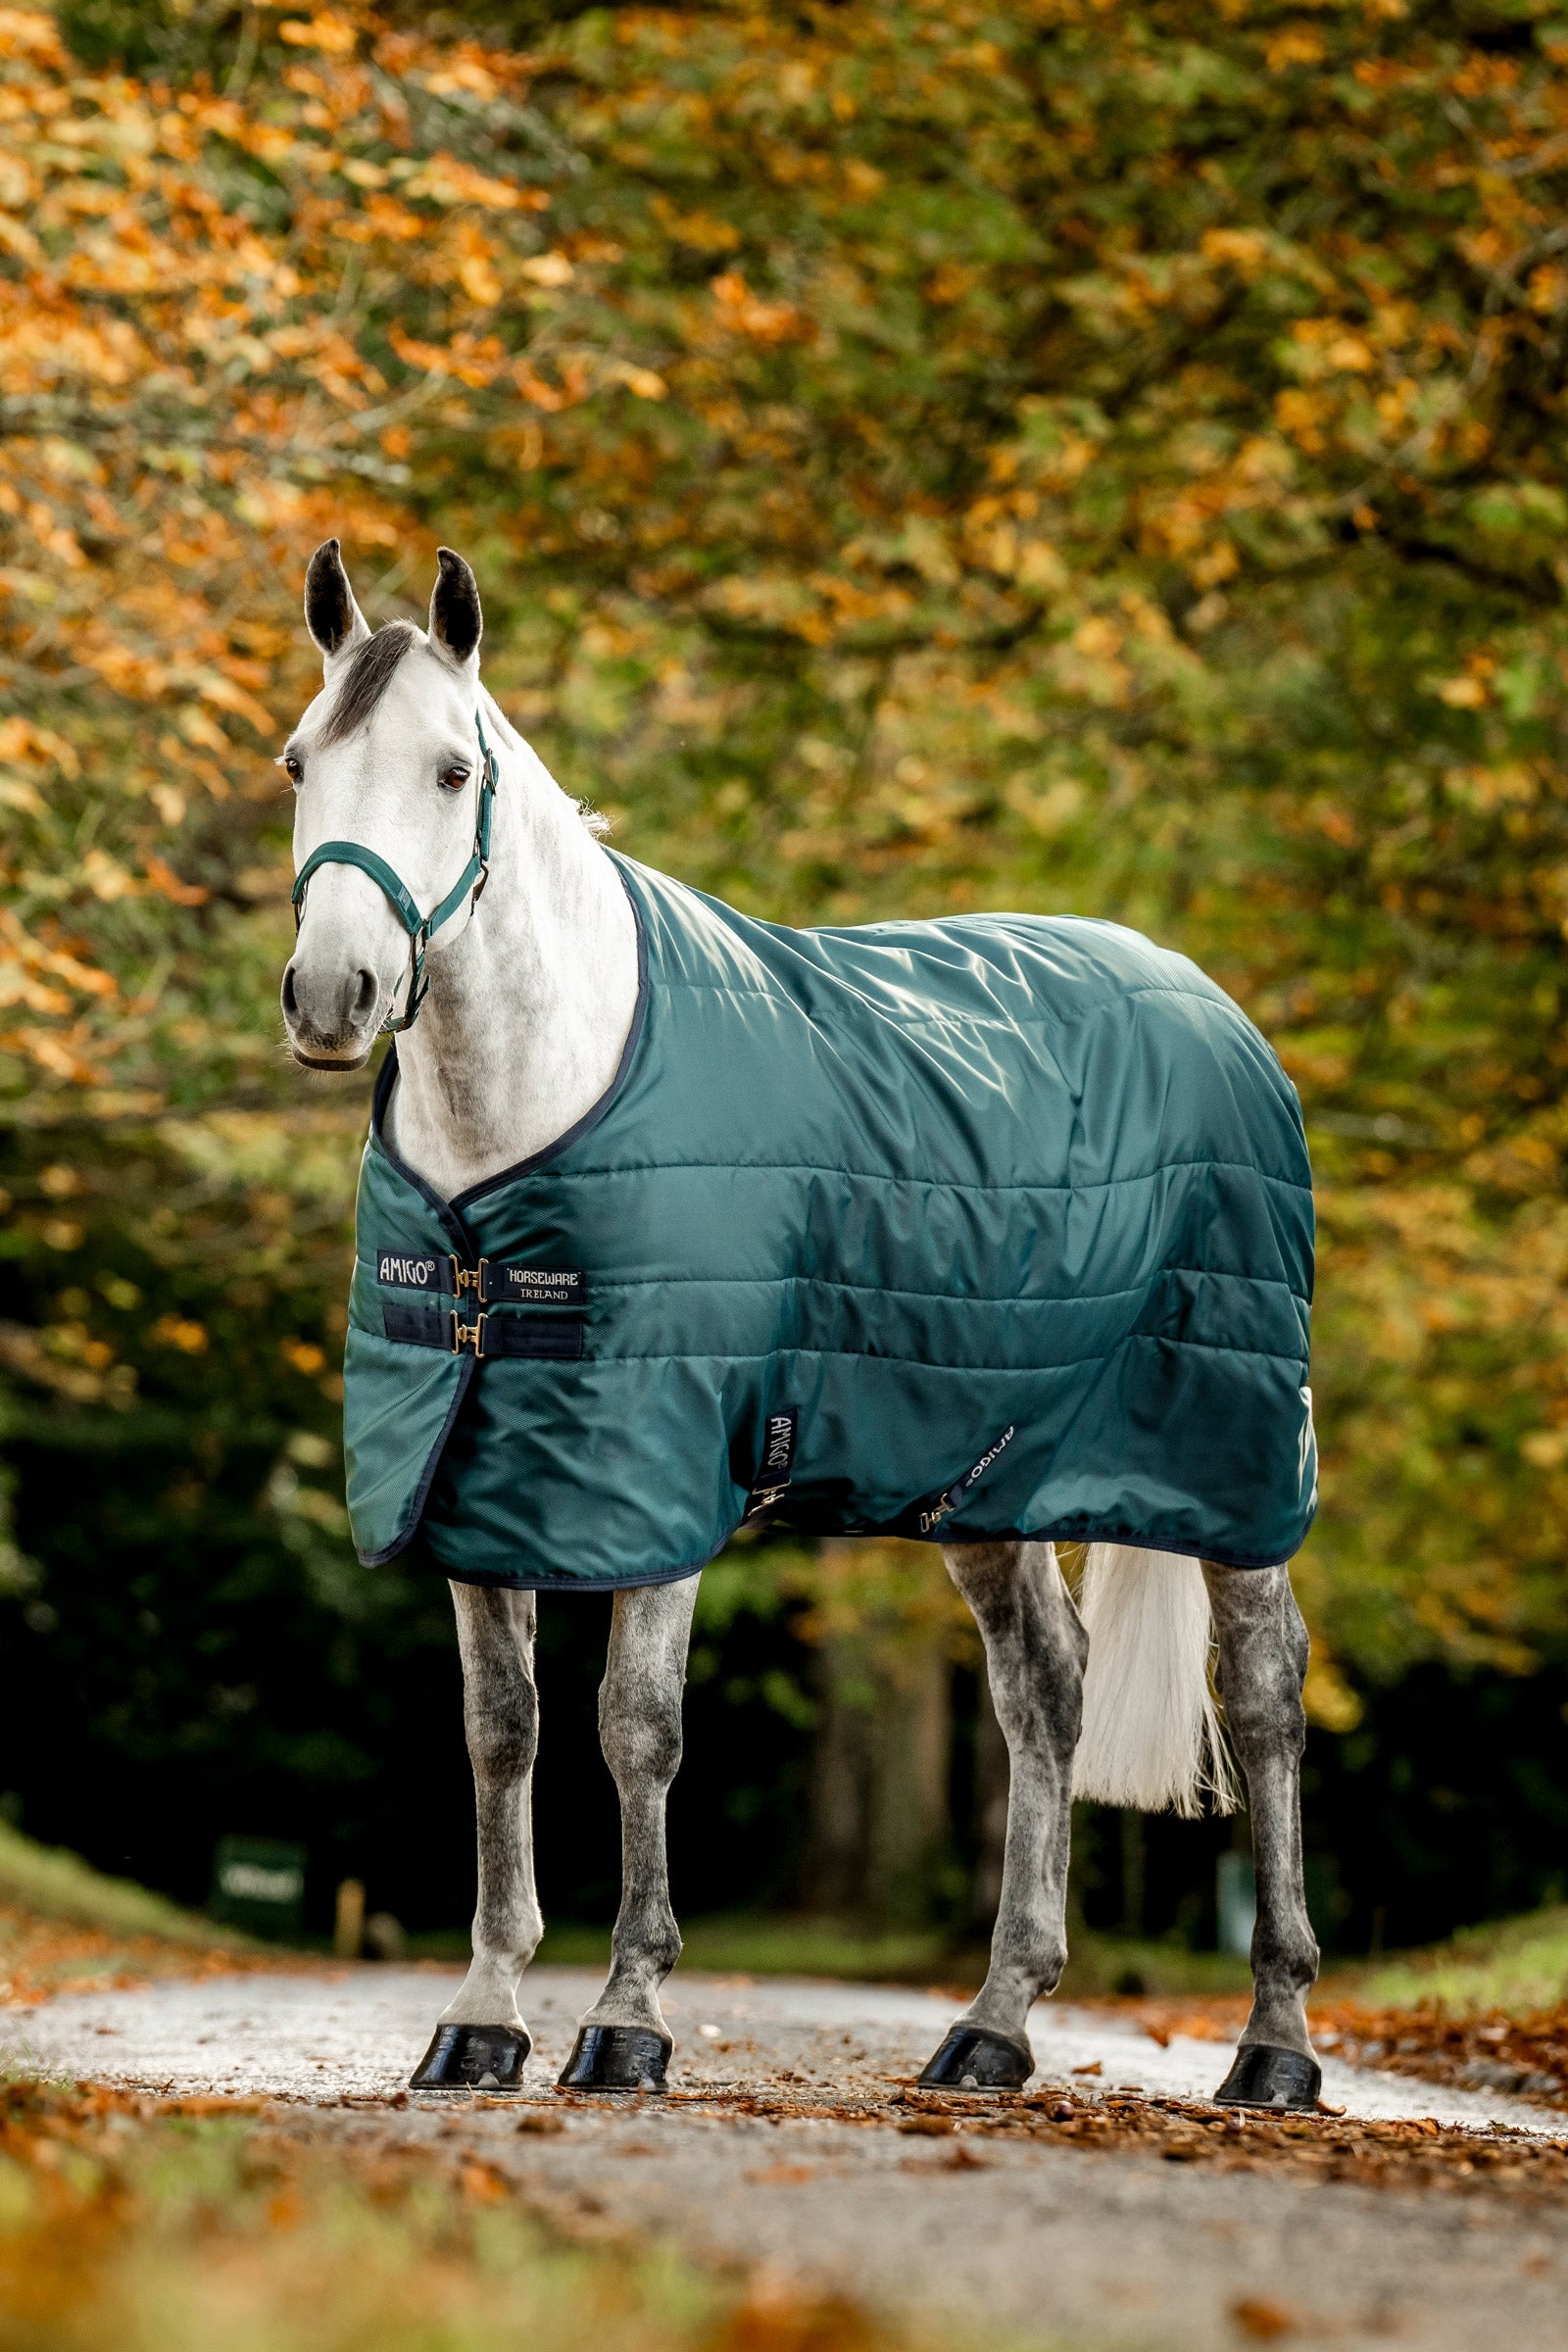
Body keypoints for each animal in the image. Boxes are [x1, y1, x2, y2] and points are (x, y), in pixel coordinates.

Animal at [279, 538, 1322, 2110]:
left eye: (454, 771)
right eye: (298, 764)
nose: (333, 996)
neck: (535, 1108)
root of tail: (1210, 1006)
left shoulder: (659, 1469)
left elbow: (635, 1729)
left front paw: (627, 2020)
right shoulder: (472, 1479)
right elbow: (502, 1731)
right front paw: (481, 2016)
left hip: (1234, 1450)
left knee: (1262, 1696)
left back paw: (1273, 2047)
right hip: (989, 1474)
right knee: (1045, 1692)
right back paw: (993, 2028)